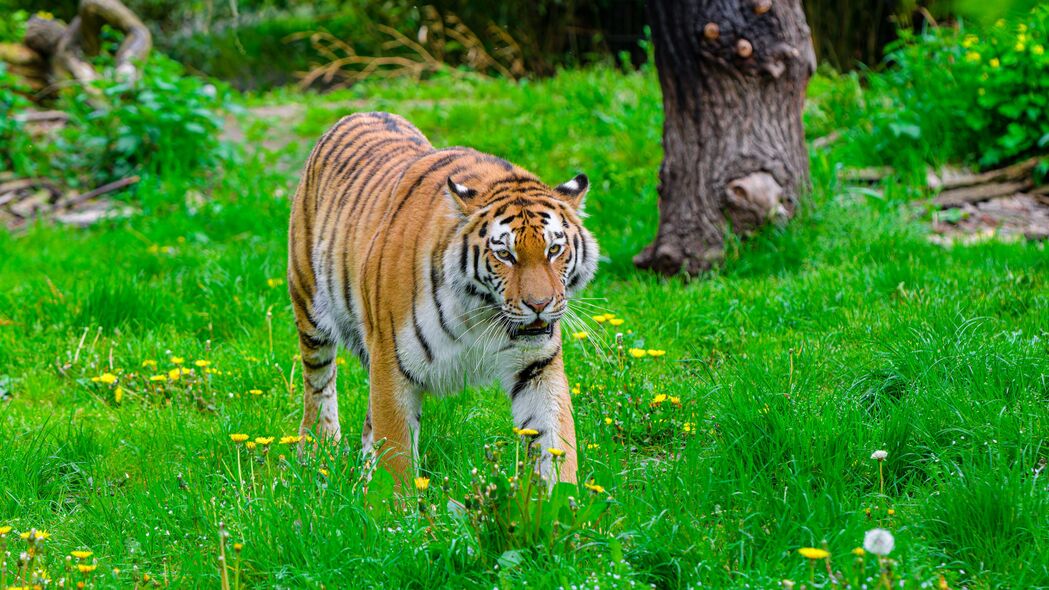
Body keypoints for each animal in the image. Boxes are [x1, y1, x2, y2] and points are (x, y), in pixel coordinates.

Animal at [287, 111, 600, 482]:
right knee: (318, 382)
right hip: (309, 304)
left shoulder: (538, 366)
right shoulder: (391, 362)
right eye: (505, 254)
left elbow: (555, 445)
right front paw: (396, 498)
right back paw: (318, 452)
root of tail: (362, 113)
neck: (481, 312)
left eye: (554, 250)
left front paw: (563, 496)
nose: (539, 305)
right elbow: (397, 459)